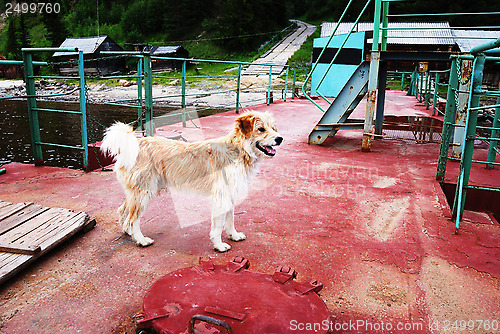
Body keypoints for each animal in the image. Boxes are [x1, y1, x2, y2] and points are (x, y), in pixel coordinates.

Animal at [100, 111, 284, 252]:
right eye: (261, 129)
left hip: (138, 192)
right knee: (132, 219)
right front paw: (219, 245)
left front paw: (234, 235)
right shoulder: (221, 197)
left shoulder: (230, 195)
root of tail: (136, 143)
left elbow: (230, 220)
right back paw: (141, 240)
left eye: (273, 128)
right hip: (144, 193)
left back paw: (128, 233)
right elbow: (218, 226)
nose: (280, 138)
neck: (239, 150)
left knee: (123, 211)